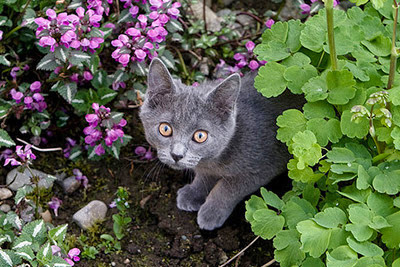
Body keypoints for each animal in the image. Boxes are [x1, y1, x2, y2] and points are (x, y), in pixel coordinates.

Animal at [140, 58, 304, 230]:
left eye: (200, 136)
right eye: (165, 129)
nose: (176, 155)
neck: (217, 158)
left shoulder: (262, 168)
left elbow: (227, 188)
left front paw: (211, 212)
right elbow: (204, 176)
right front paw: (193, 193)